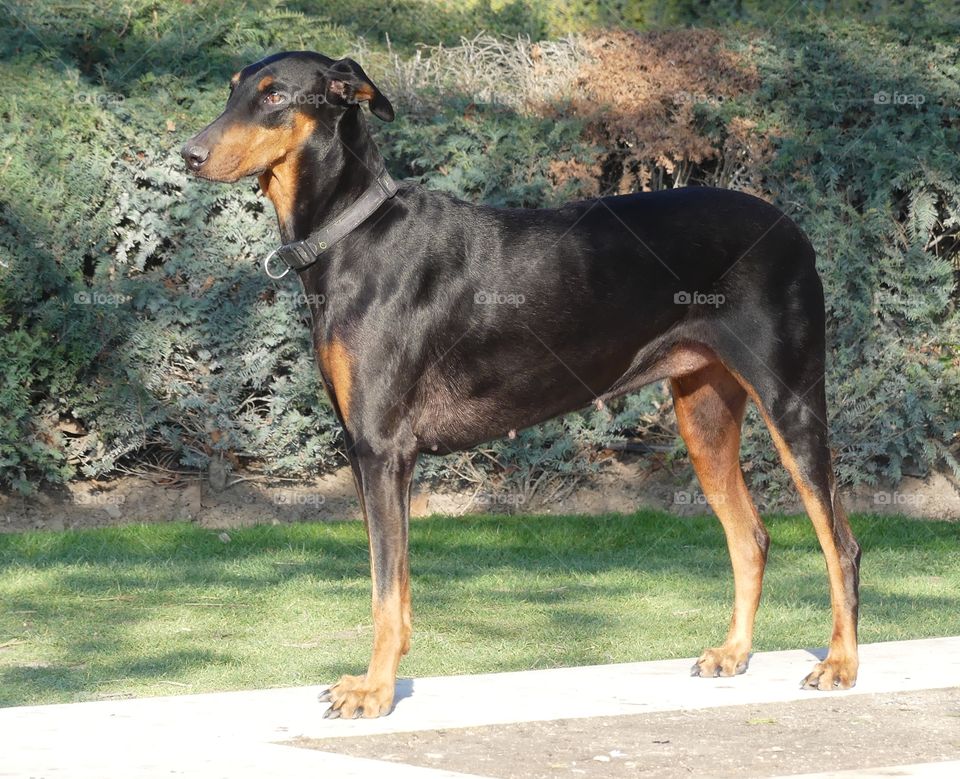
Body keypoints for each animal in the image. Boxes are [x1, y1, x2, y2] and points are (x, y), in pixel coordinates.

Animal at [182, 48, 864, 720]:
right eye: (234, 89)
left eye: (274, 96)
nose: (190, 153)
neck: (353, 233)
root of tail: (793, 228)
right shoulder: (372, 454)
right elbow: (394, 587)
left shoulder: (381, 449)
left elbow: (384, 591)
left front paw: (374, 692)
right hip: (703, 412)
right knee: (750, 537)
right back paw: (734, 653)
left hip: (791, 402)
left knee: (840, 544)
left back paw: (840, 664)